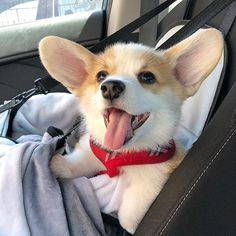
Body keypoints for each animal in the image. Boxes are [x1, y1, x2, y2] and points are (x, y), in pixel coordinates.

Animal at [38, 28, 223, 233]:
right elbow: (78, 163)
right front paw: (59, 164)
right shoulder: (93, 150)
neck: (121, 154)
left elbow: (130, 211)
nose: (110, 87)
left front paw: (131, 226)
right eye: (101, 76)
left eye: (147, 77)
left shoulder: (155, 177)